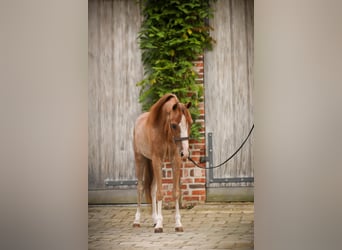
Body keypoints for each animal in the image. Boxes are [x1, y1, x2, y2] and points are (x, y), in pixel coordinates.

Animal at [132, 93, 192, 232]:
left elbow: (175, 192)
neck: (164, 132)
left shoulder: (175, 160)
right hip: (140, 159)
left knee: (152, 189)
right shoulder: (157, 160)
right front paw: (160, 225)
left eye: (190, 123)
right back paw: (137, 221)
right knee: (140, 187)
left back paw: (154, 219)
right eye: (174, 125)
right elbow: (160, 193)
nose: (185, 153)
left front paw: (178, 224)